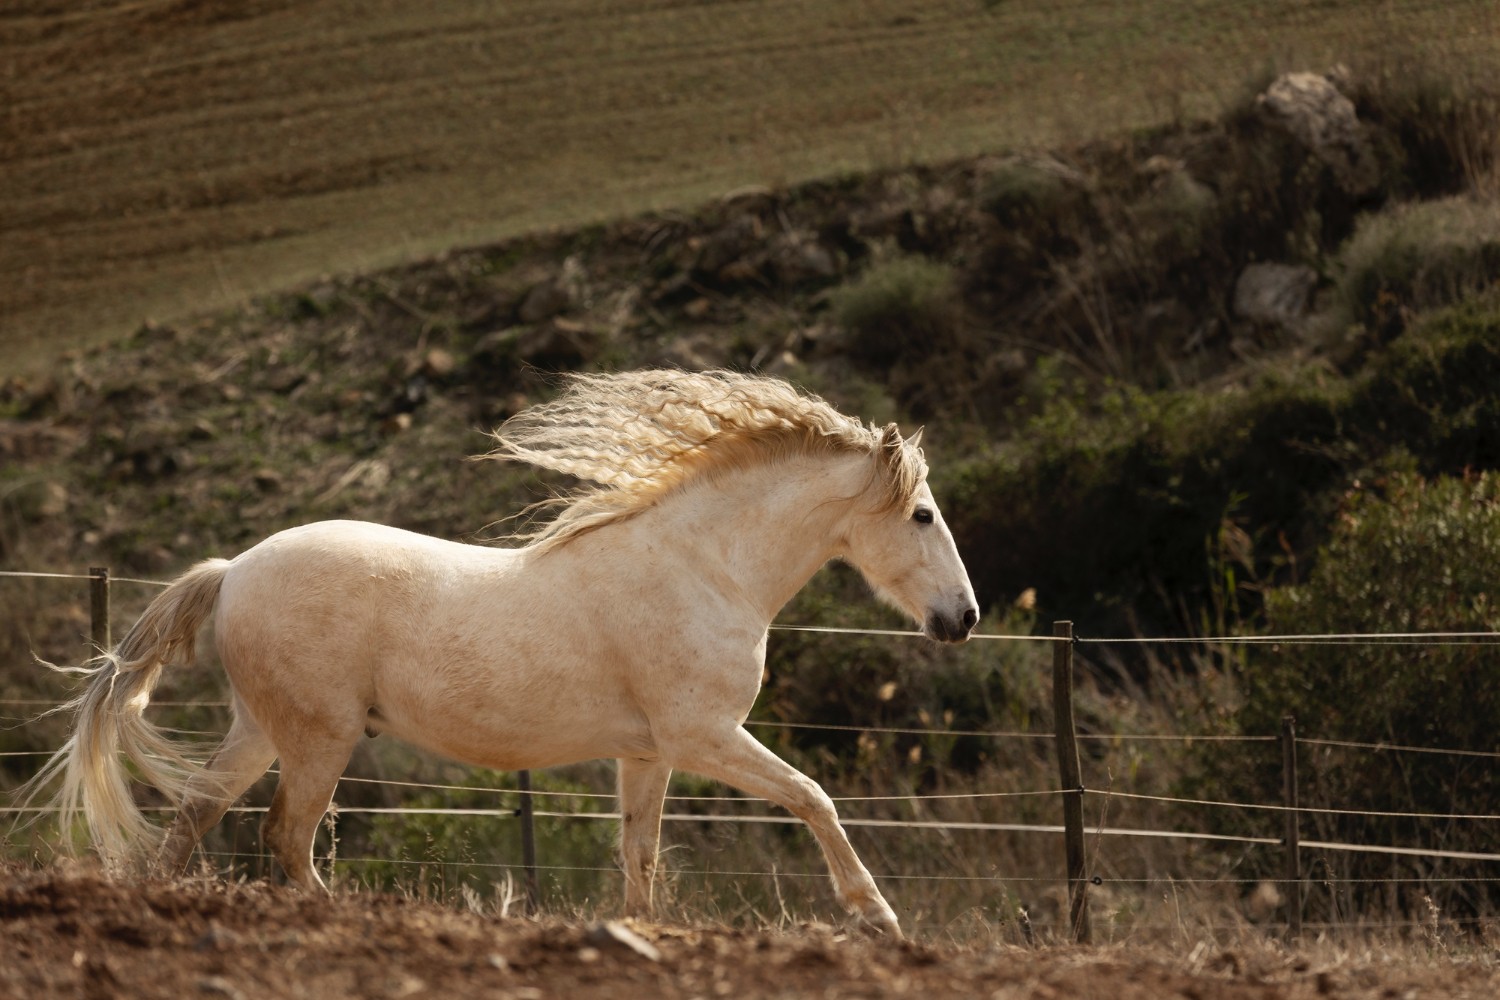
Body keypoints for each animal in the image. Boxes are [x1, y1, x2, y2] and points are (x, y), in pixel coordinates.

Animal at [24, 368, 978, 937]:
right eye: (924, 514)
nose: (962, 618)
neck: (704, 567)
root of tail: (232, 572)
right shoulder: (705, 736)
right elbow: (815, 798)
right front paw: (878, 918)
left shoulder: (649, 751)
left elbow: (639, 853)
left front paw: (637, 932)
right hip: (319, 737)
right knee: (284, 836)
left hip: (262, 729)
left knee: (196, 816)